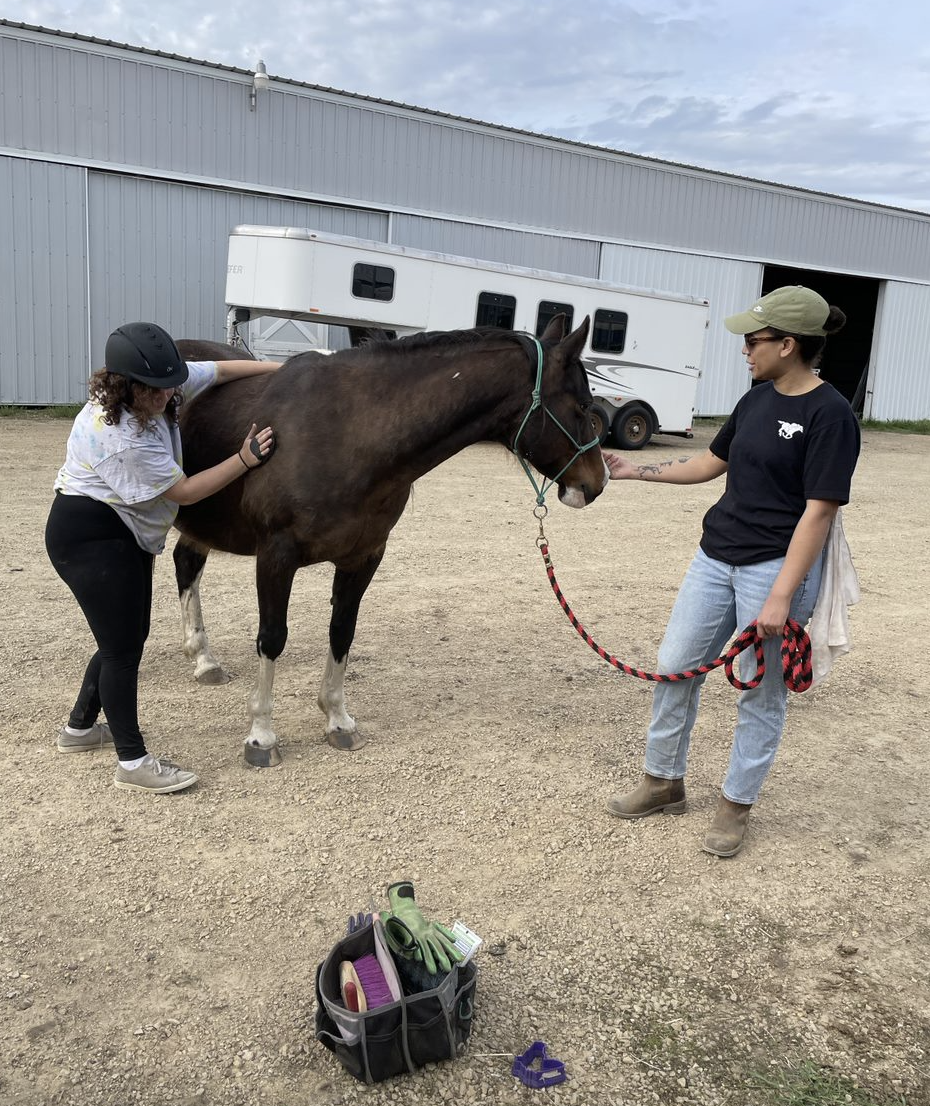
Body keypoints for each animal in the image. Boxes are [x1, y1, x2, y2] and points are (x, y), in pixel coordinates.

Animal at [174, 316, 607, 766]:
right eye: (583, 406)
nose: (597, 482)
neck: (348, 431)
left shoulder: (363, 556)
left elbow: (342, 632)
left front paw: (338, 720)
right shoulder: (276, 555)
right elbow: (272, 637)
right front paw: (261, 735)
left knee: (186, 564)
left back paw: (203, 658)